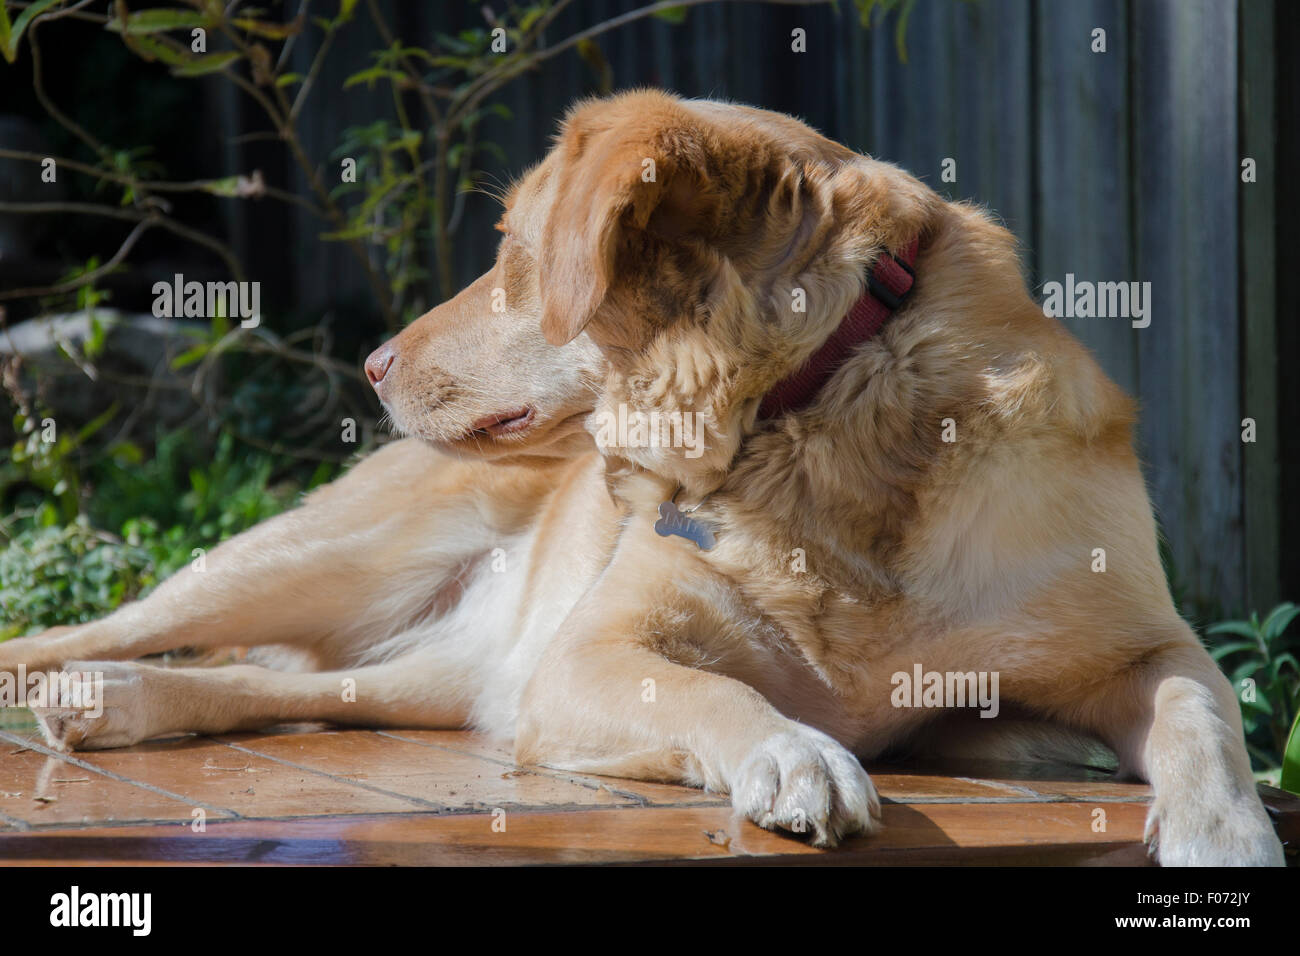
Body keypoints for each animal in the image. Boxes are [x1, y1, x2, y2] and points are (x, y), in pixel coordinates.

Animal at [0, 89, 1279, 868]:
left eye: (513, 254)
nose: (370, 363)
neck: (813, 418)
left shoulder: (1144, 641)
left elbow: (1200, 713)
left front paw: (1224, 830)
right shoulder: (586, 657)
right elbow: (716, 690)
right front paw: (794, 752)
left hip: (460, 673)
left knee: (276, 685)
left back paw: (111, 703)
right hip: (317, 560)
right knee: (110, 629)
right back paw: (70, 678)